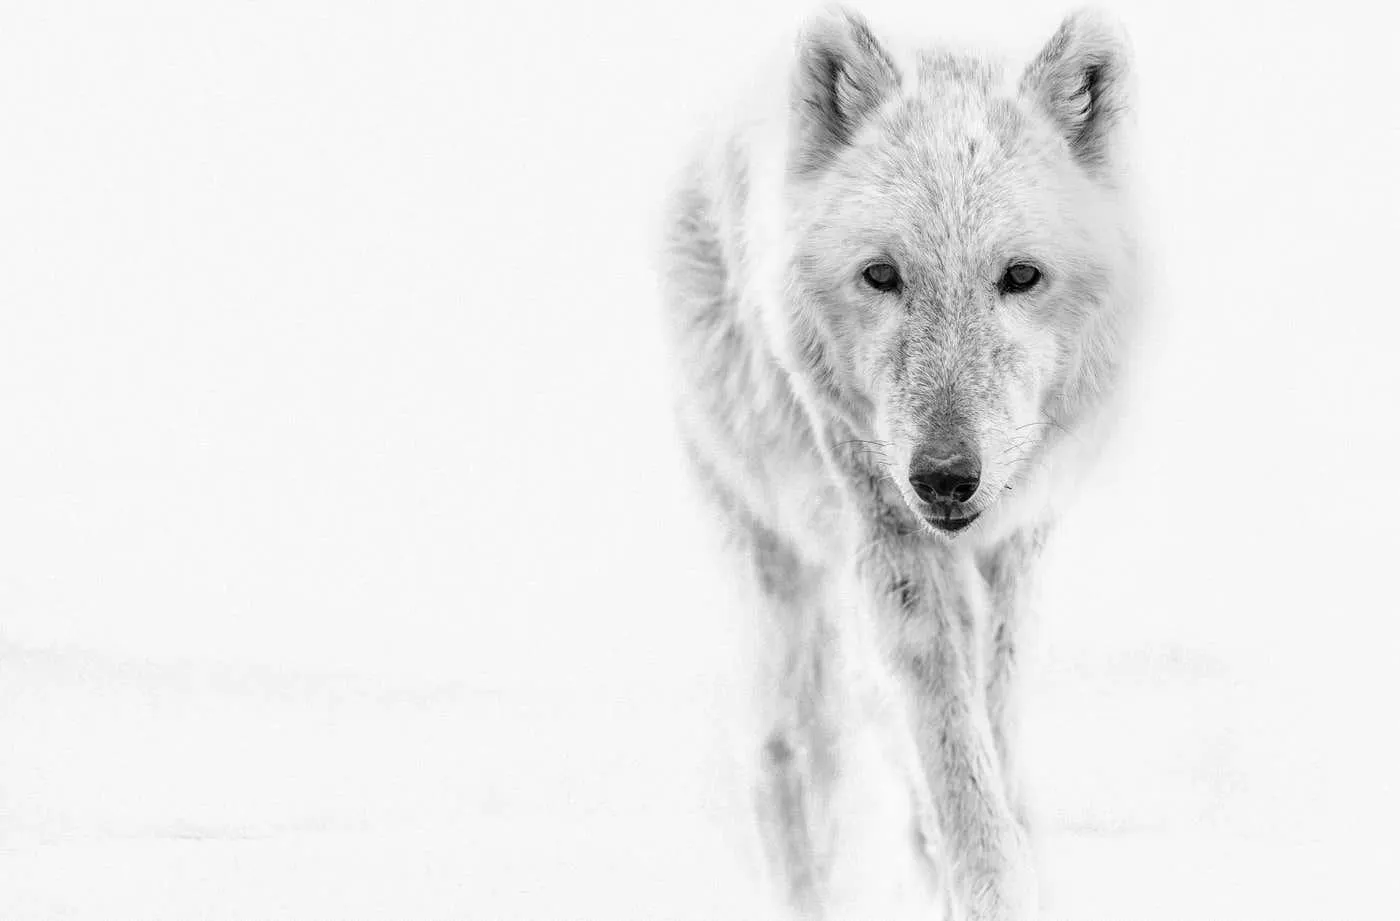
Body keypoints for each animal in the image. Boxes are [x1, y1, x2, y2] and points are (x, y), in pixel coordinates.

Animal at [658, 6, 1139, 919]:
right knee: (781, 758)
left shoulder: (1016, 546)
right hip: (781, 580)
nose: (944, 475)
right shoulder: (888, 533)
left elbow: (988, 715)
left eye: (1020, 275)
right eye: (881, 275)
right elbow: (945, 723)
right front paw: (988, 878)